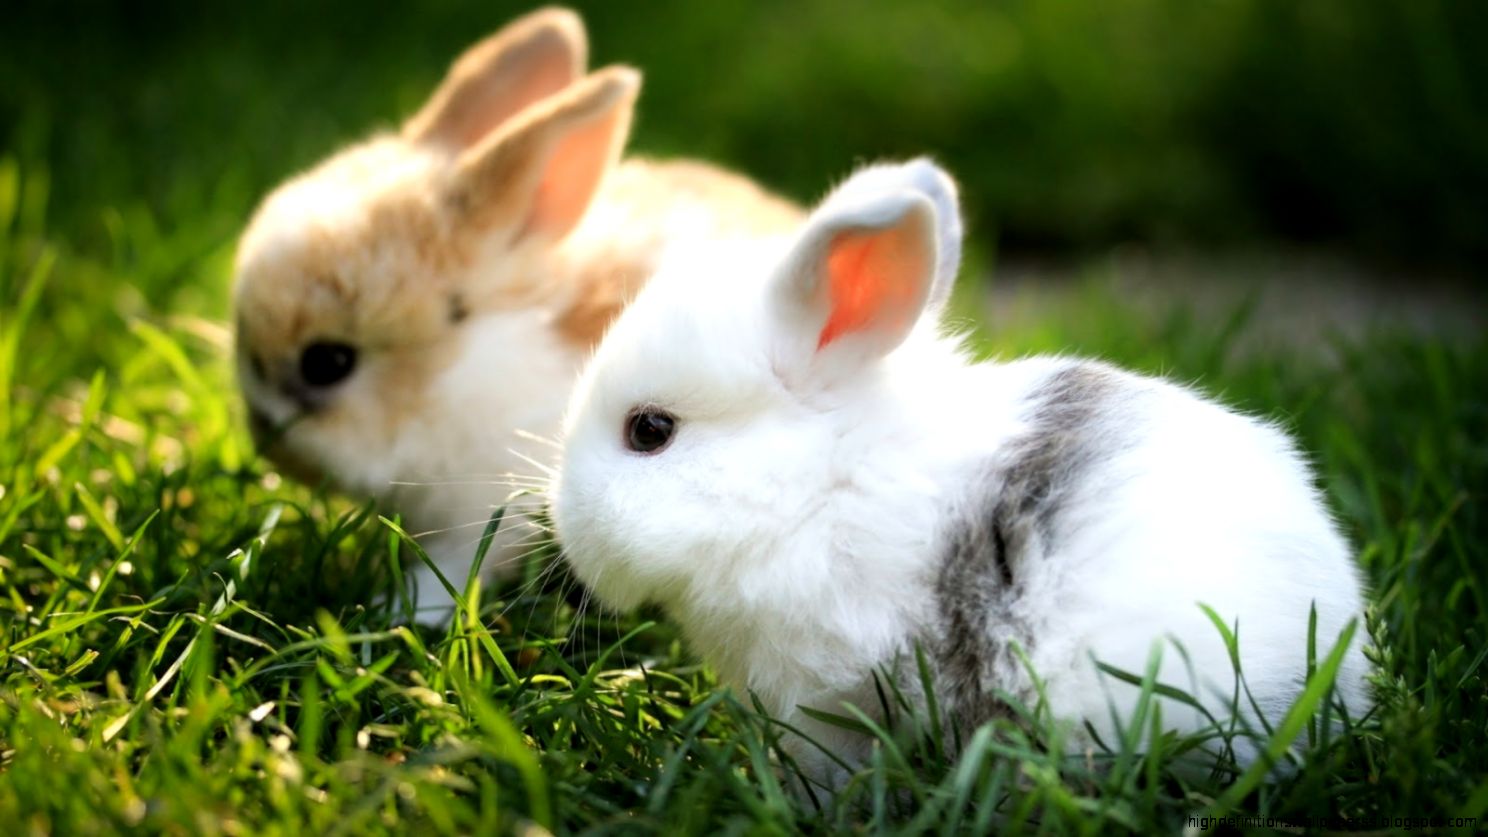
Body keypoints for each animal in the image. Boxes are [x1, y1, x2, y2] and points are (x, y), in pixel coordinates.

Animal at [232, 7, 801, 622]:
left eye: (328, 362)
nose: (268, 444)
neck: (459, 371)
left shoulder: (489, 510)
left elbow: (456, 566)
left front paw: (397, 612)